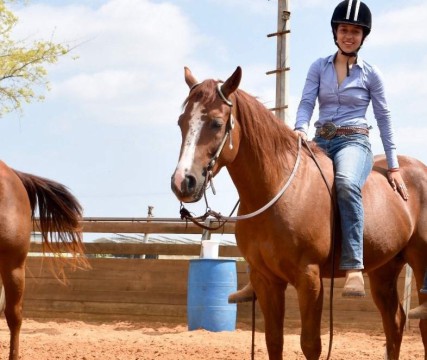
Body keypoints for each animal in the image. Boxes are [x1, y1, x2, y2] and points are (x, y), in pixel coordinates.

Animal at [172, 66, 427, 358]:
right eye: (181, 122)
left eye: (215, 123)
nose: (183, 182)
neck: (279, 190)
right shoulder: (266, 280)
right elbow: (273, 340)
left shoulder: (309, 278)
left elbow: (310, 344)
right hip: (384, 269)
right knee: (394, 322)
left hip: (420, 262)